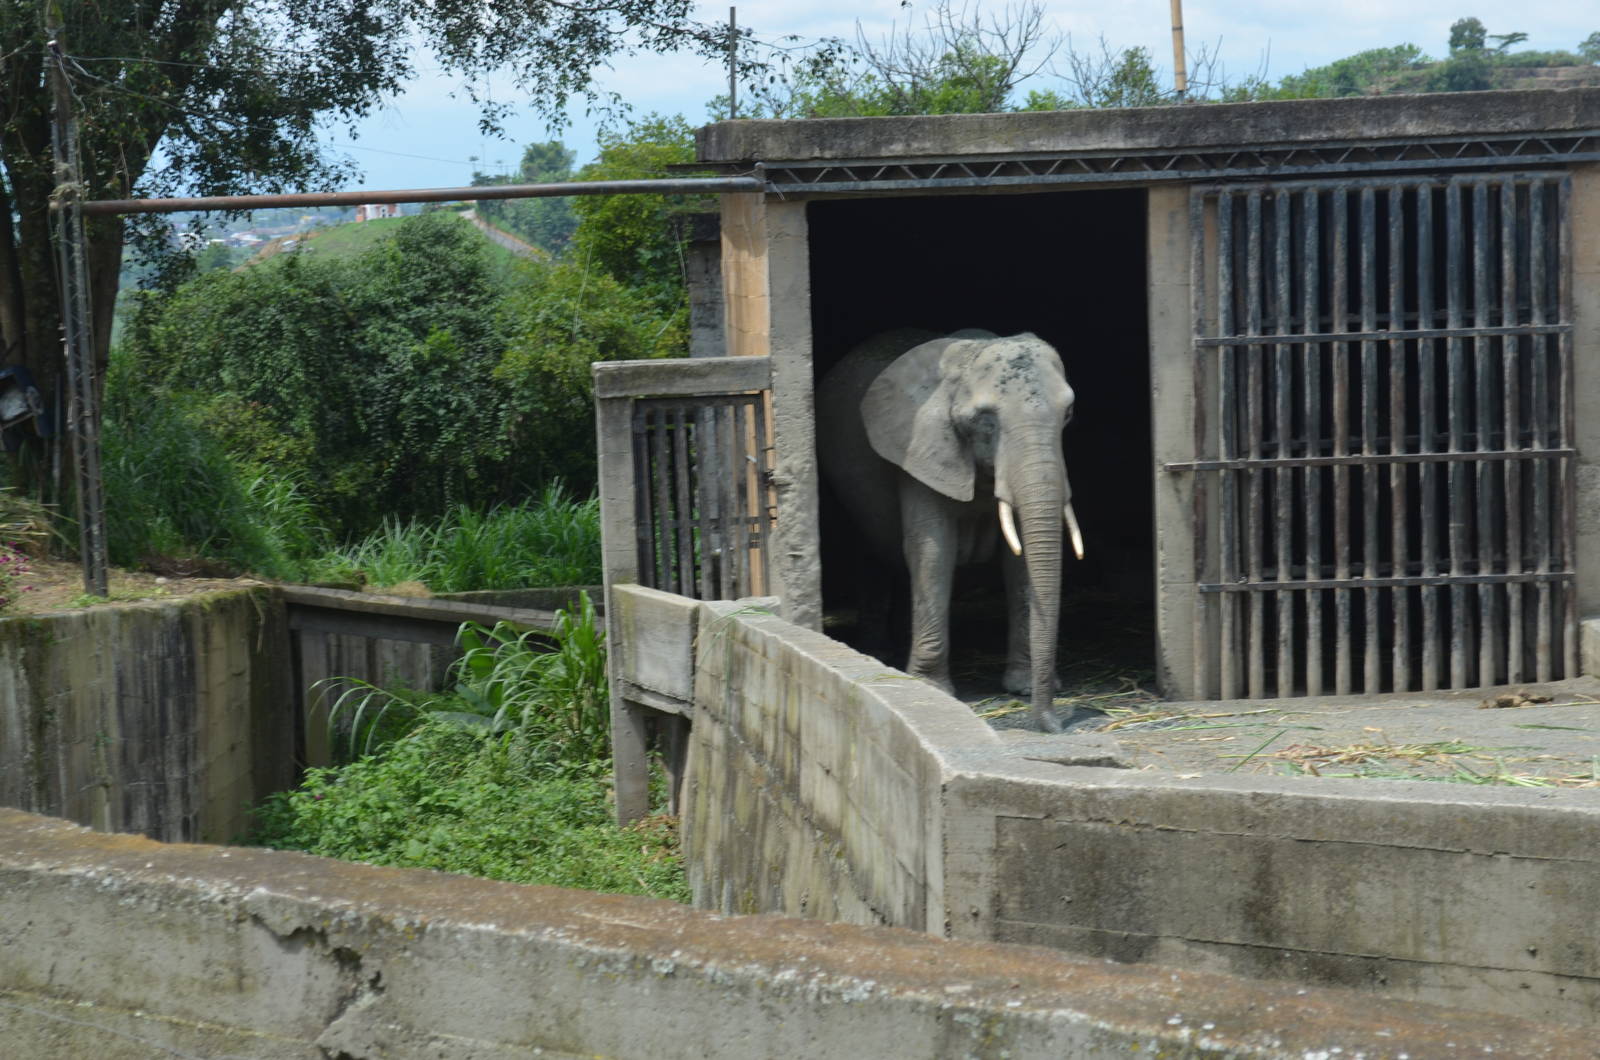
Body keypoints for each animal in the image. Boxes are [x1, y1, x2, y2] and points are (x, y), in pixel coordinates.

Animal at [816, 328, 1083, 733]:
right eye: (986, 420)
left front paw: (1022, 686)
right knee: (871, 556)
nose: (1053, 725)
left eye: (1067, 414)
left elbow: (1020, 562)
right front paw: (931, 688)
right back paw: (879, 653)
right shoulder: (919, 449)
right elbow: (933, 551)